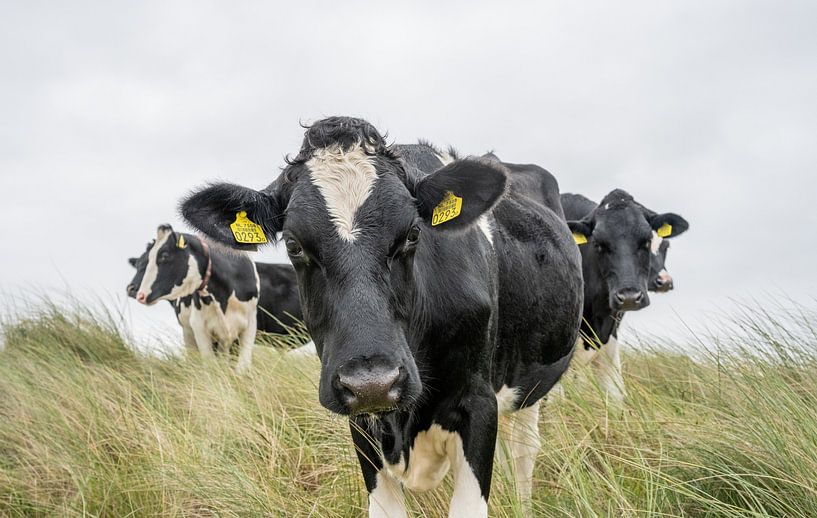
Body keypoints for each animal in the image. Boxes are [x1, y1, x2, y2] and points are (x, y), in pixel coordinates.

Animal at [132, 224, 259, 372]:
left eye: (164, 255)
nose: (140, 295)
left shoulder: (250, 323)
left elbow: (242, 367)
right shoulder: (199, 326)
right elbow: (210, 365)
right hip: (188, 332)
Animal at [179, 116, 583, 516]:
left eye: (413, 233)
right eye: (293, 245)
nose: (371, 384)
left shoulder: (478, 403)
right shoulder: (363, 424)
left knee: (524, 448)